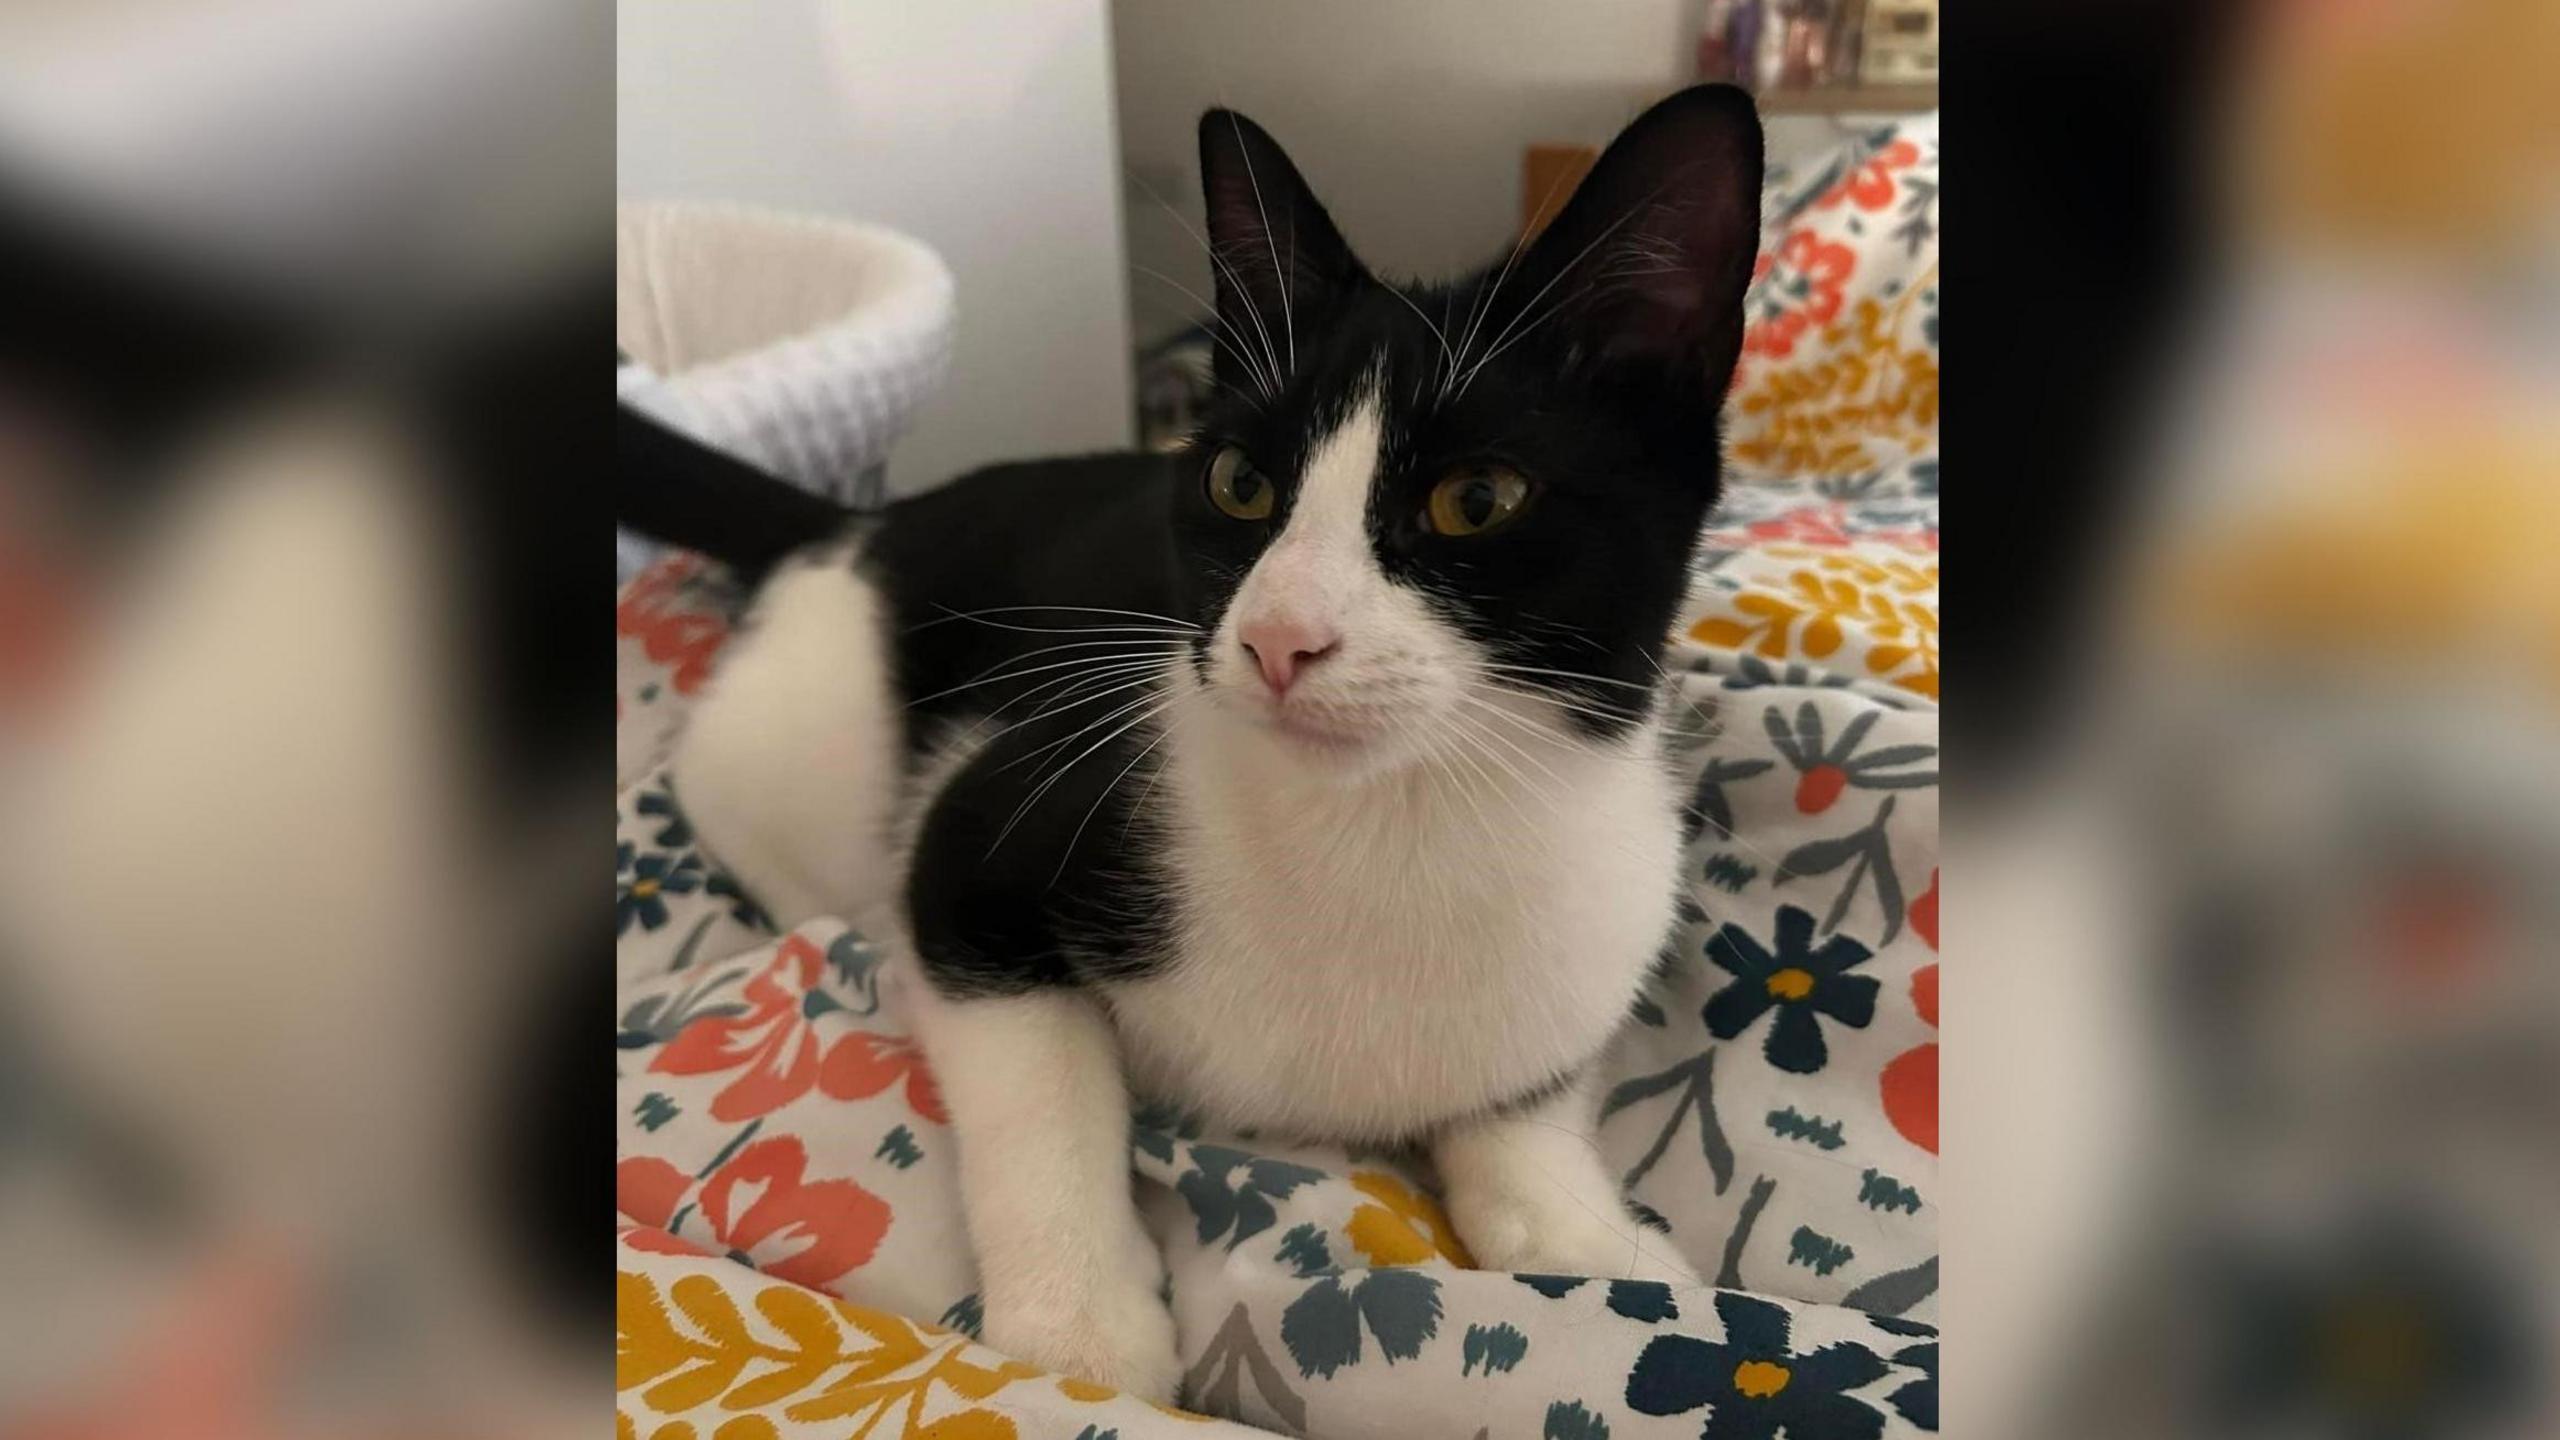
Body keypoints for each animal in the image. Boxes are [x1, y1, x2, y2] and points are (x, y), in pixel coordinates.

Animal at [629, 87, 1771, 1393]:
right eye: (1237, 484)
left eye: (1475, 500)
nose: (1278, 638)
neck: (1397, 823)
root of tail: (866, 520)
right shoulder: (993, 829)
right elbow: (1036, 1079)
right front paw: (1078, 1330)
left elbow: (1527, 1090)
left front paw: (1581, 1232)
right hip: (802, 750)